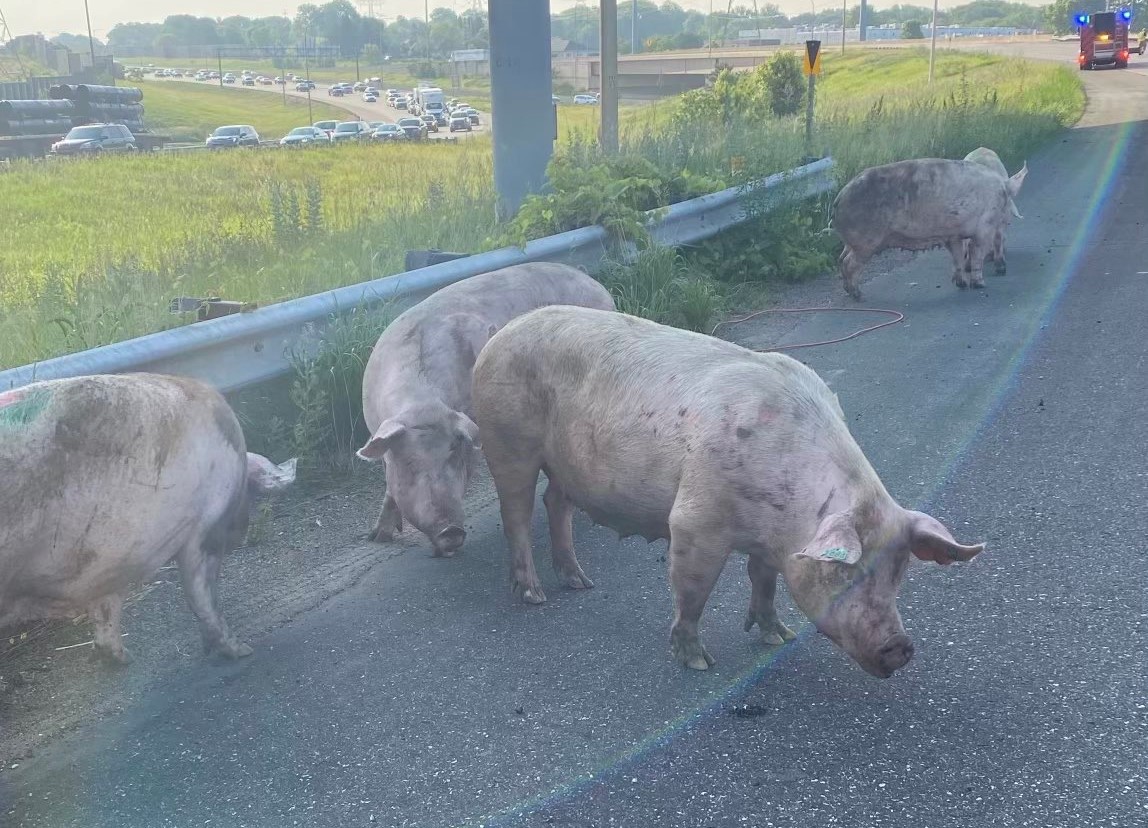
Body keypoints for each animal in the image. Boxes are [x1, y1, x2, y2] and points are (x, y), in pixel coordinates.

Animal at [0, 373, 295, 666]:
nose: (241, 530)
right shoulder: (204, 529)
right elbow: (201, 595)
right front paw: (242, 651)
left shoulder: (112, 559)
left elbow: (107, 609)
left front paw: (121, 660)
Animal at [357, 262, 616, 557]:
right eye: (409, 463)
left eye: (454, 454)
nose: (451, 530)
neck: (421, 402)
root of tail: (597, 286)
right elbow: (389, 490)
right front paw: (377, 538)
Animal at [472, 306, 984, 677]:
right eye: (844, 571)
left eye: (900, 572)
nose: (901, 646)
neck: (785, 523)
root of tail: (498, 335)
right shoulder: (695, 522)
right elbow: (692, 592)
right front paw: (699, 663)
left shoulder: (768, 539)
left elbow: (764, 582)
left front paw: (778, 637)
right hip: (507, 442)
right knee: (516, 514)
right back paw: (534, 595)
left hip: (563, 465)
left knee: (554, 503)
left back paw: (580, 582)